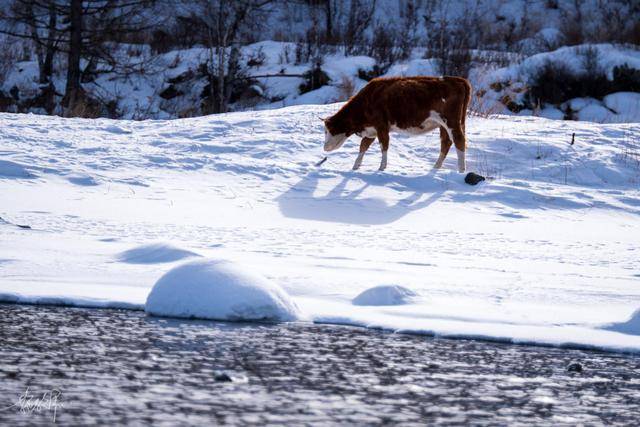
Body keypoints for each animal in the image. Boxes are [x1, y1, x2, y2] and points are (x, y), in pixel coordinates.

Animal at [324, 76, 470, 173]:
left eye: (328, 130)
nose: (325, 148)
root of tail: (457, 80)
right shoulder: (371, 130)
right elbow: (363, 146)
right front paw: (355, 166)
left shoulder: (381, 125)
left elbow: (384, 145)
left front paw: (381, 168)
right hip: (444, 125)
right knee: (446, 142)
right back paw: (436, 167)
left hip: (451, 121)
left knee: (459, 140)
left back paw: (461, 170)